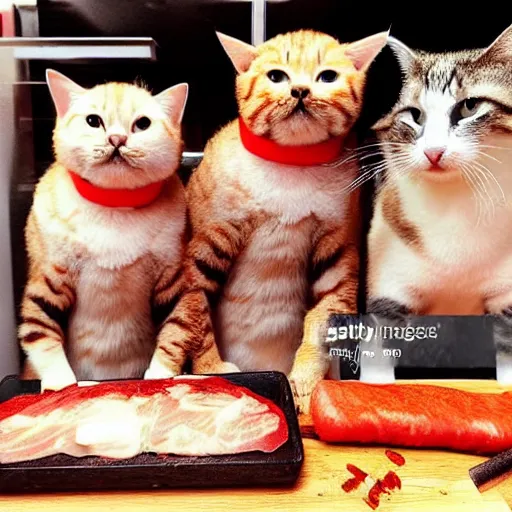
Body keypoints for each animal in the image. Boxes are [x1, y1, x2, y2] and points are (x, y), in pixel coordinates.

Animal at [18, 70, 230, 390]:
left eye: (142, 124)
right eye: (93, 121)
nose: (116, 139)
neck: (115, 204)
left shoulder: (176, 284)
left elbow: (174, 333)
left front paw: (159, 377)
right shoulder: (47, 283)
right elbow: (41, 335)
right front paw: (61, 384)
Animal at [144, 29, 384, 412]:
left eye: (327, 76)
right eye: (276, 76)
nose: (300, 90)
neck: (291, 164)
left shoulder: (338, 255)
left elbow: (321, 320)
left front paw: (304, 382)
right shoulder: (200, 257)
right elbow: (198, 323)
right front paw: (212, 369)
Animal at [364, 24, 512, 384]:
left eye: (470, 107)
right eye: (414, 115)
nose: (433, 151)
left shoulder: (506, 295)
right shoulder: (389, 287)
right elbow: (379, 349)